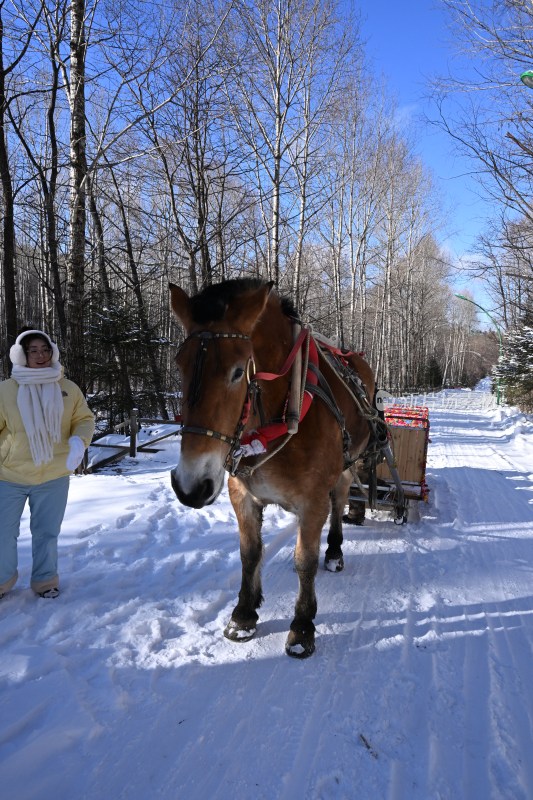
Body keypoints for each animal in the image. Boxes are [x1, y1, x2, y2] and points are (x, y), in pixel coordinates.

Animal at [168, 276, 376, 656]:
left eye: (238, 371)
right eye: (179, 364)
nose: (189, 486)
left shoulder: (312, 501)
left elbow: (304, 561)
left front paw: (302, 625)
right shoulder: (241, 494)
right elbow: (250, 554)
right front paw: (243, 614)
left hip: (347, 464)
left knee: (339, 500)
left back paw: (334, 550)